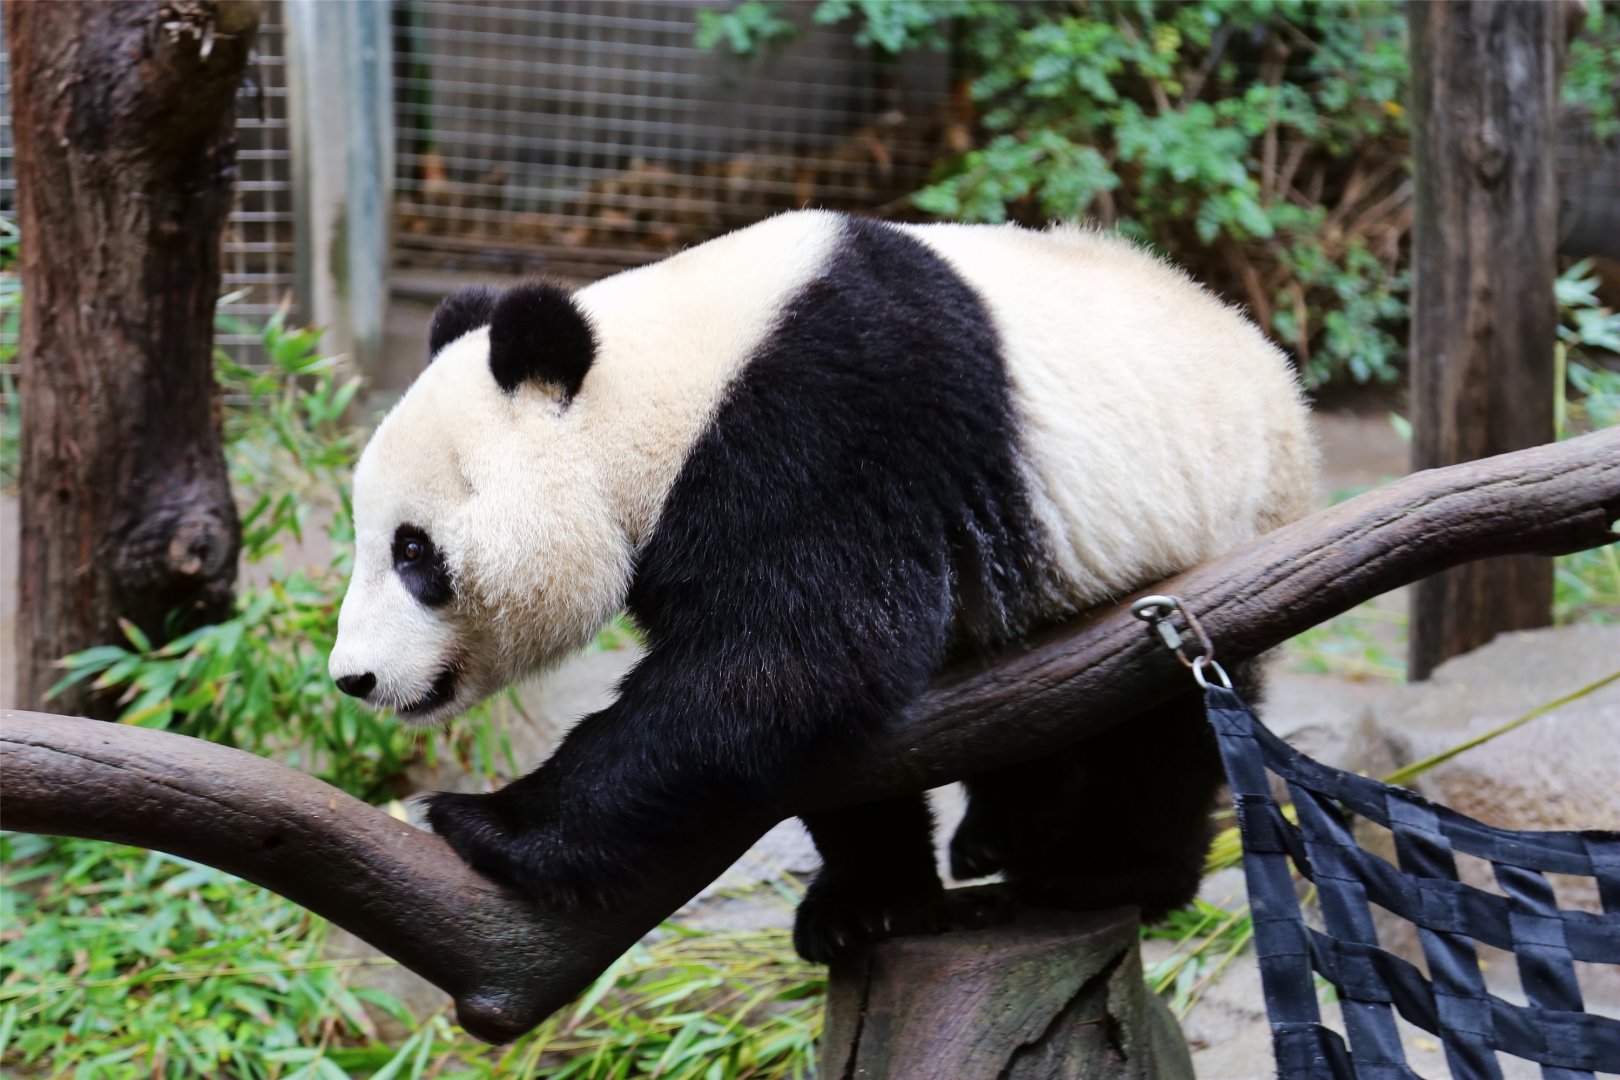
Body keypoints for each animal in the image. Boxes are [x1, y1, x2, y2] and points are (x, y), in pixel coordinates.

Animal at [328, 210, 1316, 963]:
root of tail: (1275, 372)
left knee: (1162, 726)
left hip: (1211, 529)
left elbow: (793, 663)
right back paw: (1001, 831)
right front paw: (868, 904)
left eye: (414, 553)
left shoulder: (830, 423)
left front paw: (487, 824)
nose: (355, 678)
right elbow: (811, 714)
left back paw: (1106, 870)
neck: (666, 383)